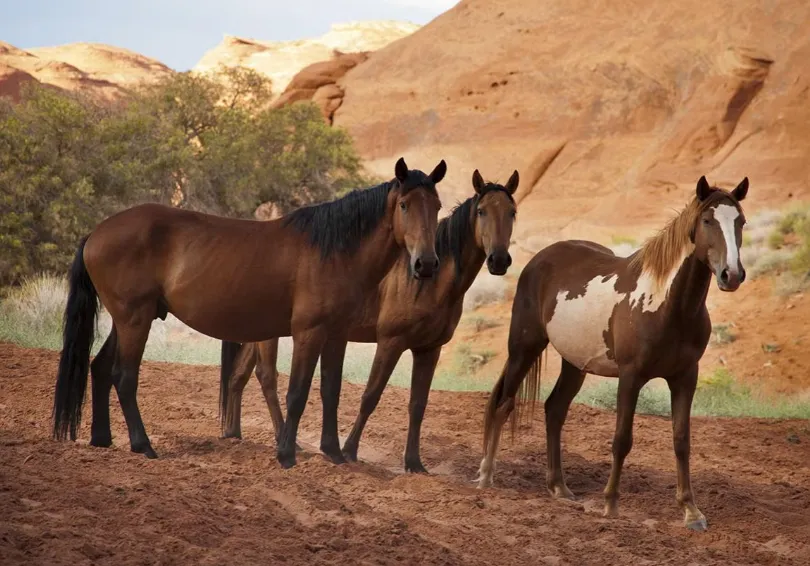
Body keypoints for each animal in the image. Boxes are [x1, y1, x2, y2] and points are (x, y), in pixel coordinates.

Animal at [52, 157, 446, 470]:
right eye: (405, 205)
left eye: (437, 206)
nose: (426, 264)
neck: (333, 250)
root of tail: (96, 233)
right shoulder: (308, 332)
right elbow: (297, 393)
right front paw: (286, 455)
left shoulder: (337, 334)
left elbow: (330, 391)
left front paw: (333, 454)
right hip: (135, 319)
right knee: (124, 376)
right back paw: (143, 445)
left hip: (127, 319)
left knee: (101, 368)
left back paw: (102, 439)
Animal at [220, 168, 520, 472]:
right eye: (481, 211)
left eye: (512, 212)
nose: (498, 260)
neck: (427, 282)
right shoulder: (390, 342)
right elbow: (370, 396)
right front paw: (349, 450)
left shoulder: (429, 350)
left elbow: (418, 405)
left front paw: (414, 463)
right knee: (266, 377)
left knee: (239, 375)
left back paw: (234, 433)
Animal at [475, 175, 749, 532]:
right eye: (707, 221)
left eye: (740, 221)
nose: (732, 274)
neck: (667, 305)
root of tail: (539, 259)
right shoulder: (631, 376)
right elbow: (622, 439)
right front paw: (610, 504)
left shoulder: (685, 377)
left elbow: (681, 441)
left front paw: (691, 511)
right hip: (524, 348)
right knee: (503, 404)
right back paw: (486, 476)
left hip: (574, 363)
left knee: (554, 410)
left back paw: (559, 487)